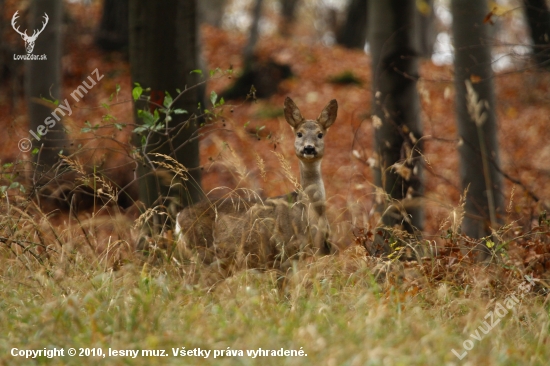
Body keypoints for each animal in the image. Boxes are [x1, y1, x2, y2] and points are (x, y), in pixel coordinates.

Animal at [177, 97, 338, 272]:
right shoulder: (283, 252)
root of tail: (179, 217)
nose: (309, 148)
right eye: (299, 133)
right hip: (204, 253)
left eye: (320, 134)